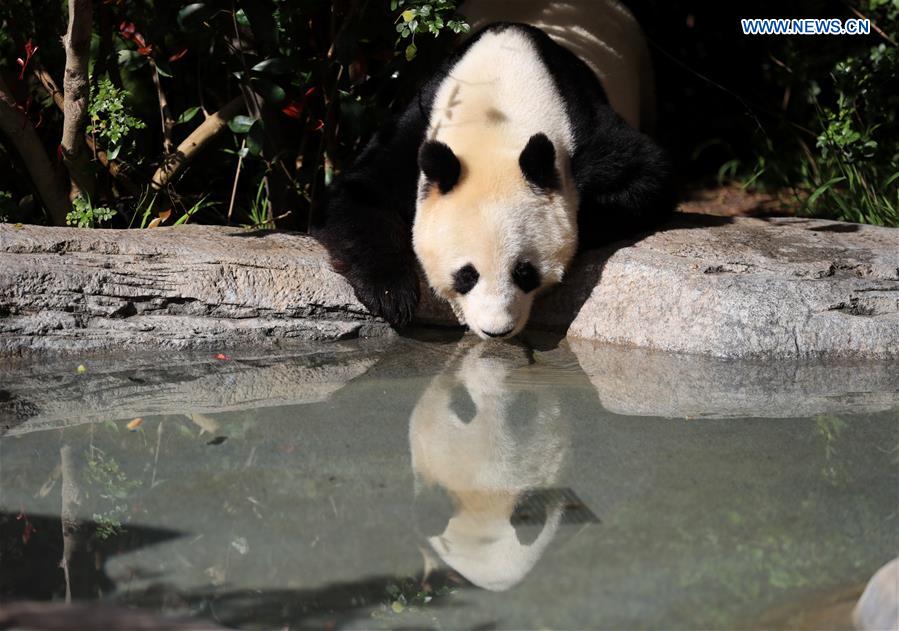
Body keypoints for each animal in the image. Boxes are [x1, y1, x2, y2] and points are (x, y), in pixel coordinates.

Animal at [316, 1, 676, 340]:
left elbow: (647, 175)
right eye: (466, 275)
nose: (497, 331)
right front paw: (392, 295)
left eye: (524, 272)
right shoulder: (419, 127)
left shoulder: (584, 129)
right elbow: (362, 192)